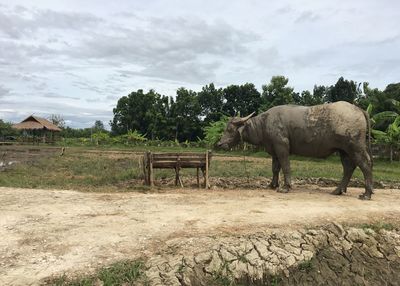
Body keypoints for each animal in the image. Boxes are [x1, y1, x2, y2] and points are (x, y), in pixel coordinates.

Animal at [217, 101, 374, 200]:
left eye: (230, 129)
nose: (220, 143)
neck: (263, 124)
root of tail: (358, 109)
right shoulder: (274, 151)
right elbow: (275, 168)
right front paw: (272, 185)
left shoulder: (282, 147)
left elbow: (286, 166)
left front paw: (285, 187)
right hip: (343, 150)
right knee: (349, 167)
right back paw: (337, 190)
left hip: (355, 147)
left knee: (365, 165)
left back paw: (366, 194)